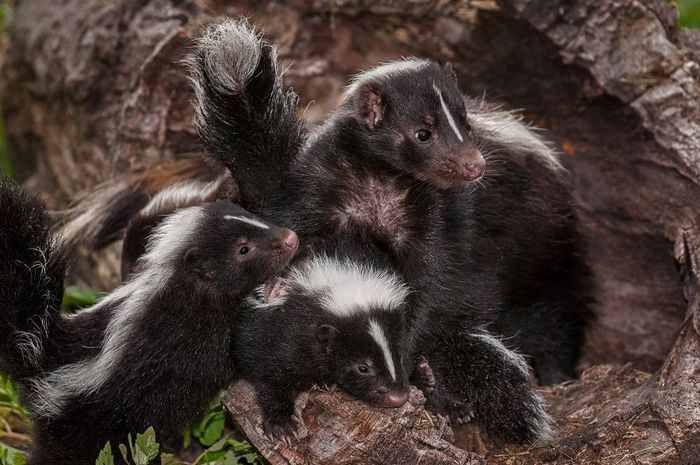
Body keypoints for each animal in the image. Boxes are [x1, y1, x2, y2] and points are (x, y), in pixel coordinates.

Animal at [0, 177, 298, 464]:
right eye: (244, 249)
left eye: (252, 216)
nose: (290, 238)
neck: (184, 288)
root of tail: (42, 348)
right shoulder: (192, 335)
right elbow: (245, 356)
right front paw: (281, 423)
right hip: (83, 423)